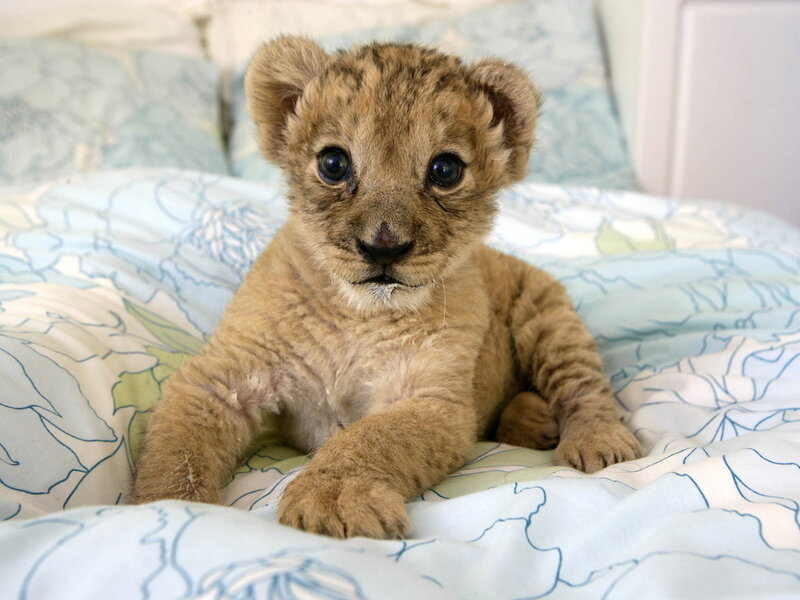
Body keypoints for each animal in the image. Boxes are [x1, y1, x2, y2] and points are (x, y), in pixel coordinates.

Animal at [131, 37, 641, 538]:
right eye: (333, 164)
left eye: (445, 170)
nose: (383, 247)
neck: (357, 315)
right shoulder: (222, 378)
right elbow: (178, 453)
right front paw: (172, 510)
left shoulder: (433, 399)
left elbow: (373, 437)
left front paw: (332, 500)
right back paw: (533, 420)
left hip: (549, 319)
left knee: (584, 386)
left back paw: (597, 443)